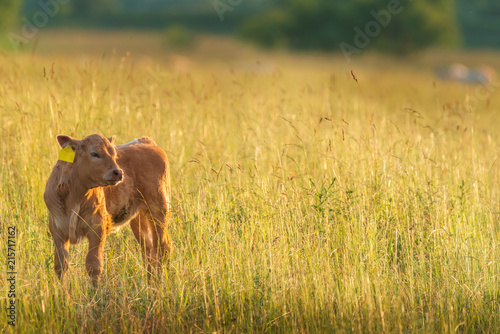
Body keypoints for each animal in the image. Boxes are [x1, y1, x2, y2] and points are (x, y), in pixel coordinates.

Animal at [44, 133, 172, 284]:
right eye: (94, 153)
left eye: (114, 154)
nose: (118, 172)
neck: (73, 197)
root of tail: (145, 142)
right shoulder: (57, 229)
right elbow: (60, 265)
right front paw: (62, 289)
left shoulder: (97, 227)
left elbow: (94, 264)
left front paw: (94, 290)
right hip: (139, 218)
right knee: (148, 249)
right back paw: (150, 283)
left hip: (159, 210)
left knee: (162, 247)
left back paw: (160, 283)